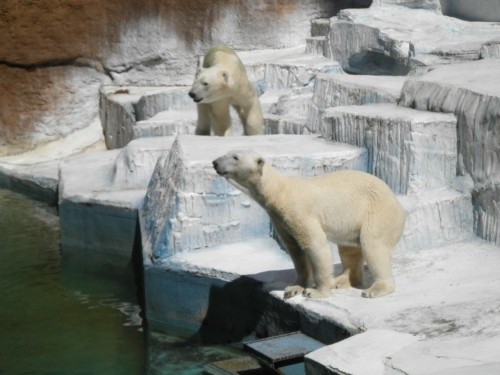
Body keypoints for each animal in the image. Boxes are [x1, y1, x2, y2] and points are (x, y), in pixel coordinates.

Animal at [212, 150, 406, 300]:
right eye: (228, 153)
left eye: (235, 157)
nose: (215, 162)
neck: (279, 192)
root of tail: (397, 203)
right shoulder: (280, 220)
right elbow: (295, 250)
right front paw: (294, 288)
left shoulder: (299, 212)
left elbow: (314, 244)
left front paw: (316, 292)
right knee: (349, 250)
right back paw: (341, 280)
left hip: (377, 213)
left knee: (373, 245)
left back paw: (375, 289)